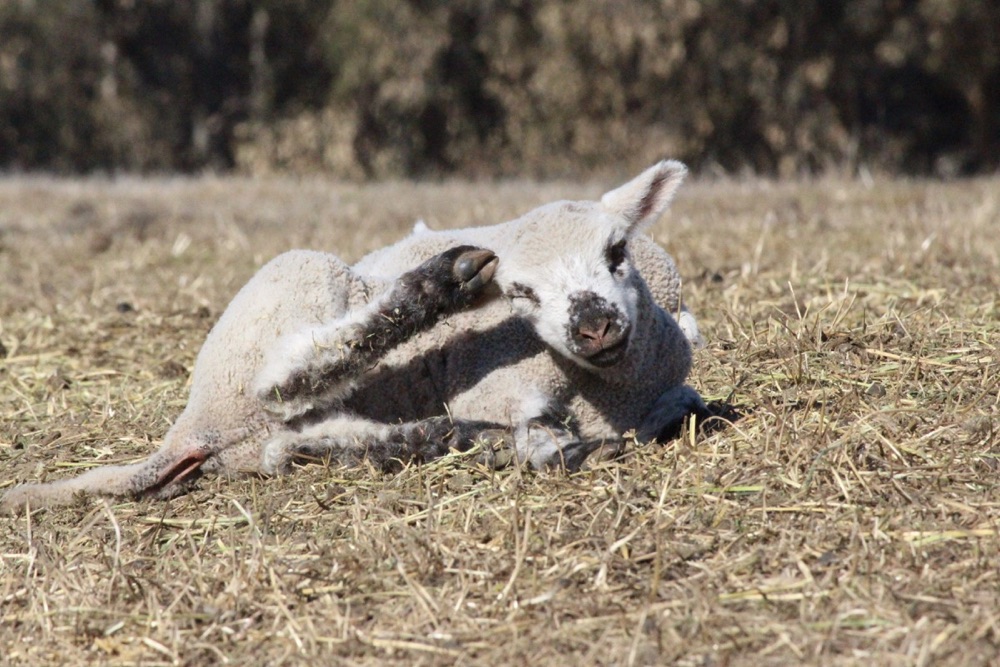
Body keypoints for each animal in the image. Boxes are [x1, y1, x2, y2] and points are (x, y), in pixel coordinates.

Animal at [0, 159, 707, 514]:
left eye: (616, 252)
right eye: (522, 293)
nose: (594, 327)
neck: (605, 389)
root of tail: (193, 426)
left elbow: (684, 405)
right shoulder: (500, 386)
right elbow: (536, 429)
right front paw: (555, 449)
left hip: (258, 442)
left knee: (293, 443)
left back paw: (432, 439)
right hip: (297, 284)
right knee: (282, 380)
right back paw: (442, 287)